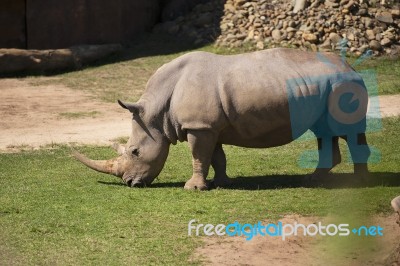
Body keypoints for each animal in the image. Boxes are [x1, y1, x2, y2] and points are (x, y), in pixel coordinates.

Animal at [73, 47, 370, 189]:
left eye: (135, 151)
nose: (129, 183)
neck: (157, 111)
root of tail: (351, 67)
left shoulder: (199, 126)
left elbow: (199, 156)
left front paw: (193, 188)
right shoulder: (207, 126)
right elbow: (215, 156)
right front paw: (221, 183)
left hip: (342, 86)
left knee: (346, 131)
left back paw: (358, 183)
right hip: (324, 87)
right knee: (325, 132)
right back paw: (313, 179)